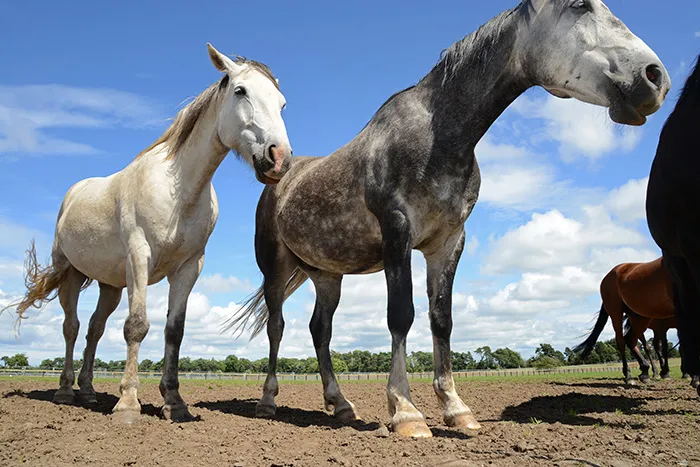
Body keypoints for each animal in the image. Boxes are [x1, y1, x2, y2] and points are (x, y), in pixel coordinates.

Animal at [2, 44, 293, 422]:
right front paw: (128, 404)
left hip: (111, 285)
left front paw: (174, 402)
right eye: (241, 91)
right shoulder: (139, 256)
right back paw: (66, 391)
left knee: (94, 329)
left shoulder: (189, 267)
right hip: (71, 274)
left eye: (282, 103)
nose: (280, 159)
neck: (178, 189)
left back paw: (89, 391)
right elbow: (136, 325)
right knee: (72, 327)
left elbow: (174, 331)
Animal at [229, 0, 670, 438]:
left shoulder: (448, 242)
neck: (439, 137)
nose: (655, 77)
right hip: (275, 268)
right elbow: (401, 315)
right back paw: (268, 401)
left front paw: (456, 409)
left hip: (326, 275)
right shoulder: (397, 233)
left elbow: (442, 320)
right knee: (277, 326)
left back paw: (340, 405)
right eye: (580, 5)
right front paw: (405, 412)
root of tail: (280, 176)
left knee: (320, 331)